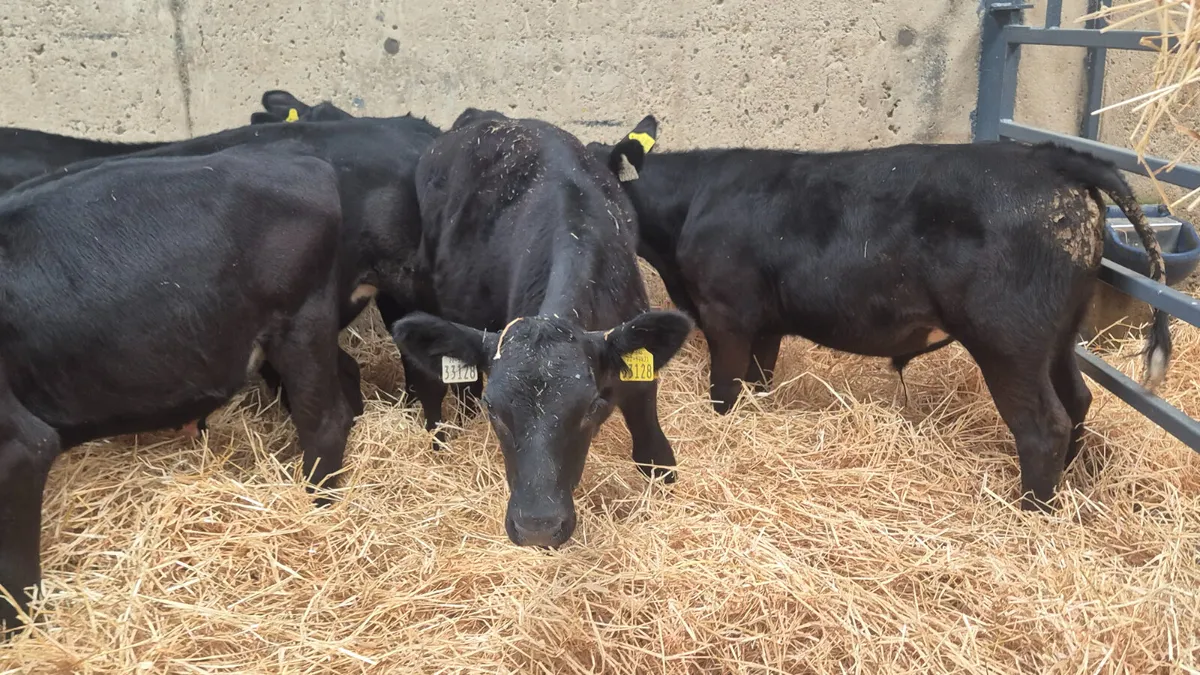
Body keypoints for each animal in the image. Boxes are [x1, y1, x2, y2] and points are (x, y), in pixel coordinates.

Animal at [0, 144, 357, 633]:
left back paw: (319, 508)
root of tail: (305, 163)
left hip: (302, 325)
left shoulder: (19, 447)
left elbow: (14, 578)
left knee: (325, 422)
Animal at [583, 137, 1172, 513]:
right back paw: (1065, 484)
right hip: (1060, 335)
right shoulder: (766, 323)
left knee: (1044, 424)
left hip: (1009, 340)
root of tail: (1054, 159)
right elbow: (758, 381)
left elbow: (724, 389)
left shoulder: (727, 314)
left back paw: (1031, 511)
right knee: (1077, 401)